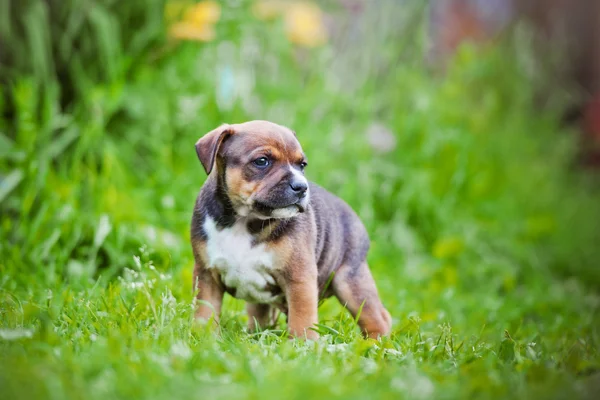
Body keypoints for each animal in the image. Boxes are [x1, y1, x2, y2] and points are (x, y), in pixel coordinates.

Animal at [190, 120, 392, 340]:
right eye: (262, 161)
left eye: (302, 165)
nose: (301, 186)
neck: (244, 220)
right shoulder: (206, 275)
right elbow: (205, 311)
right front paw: (203, 337)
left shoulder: (299, 278)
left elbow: (302, 317)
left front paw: (304, 343)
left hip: (350, 281)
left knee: (377, 317)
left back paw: (376, 343)